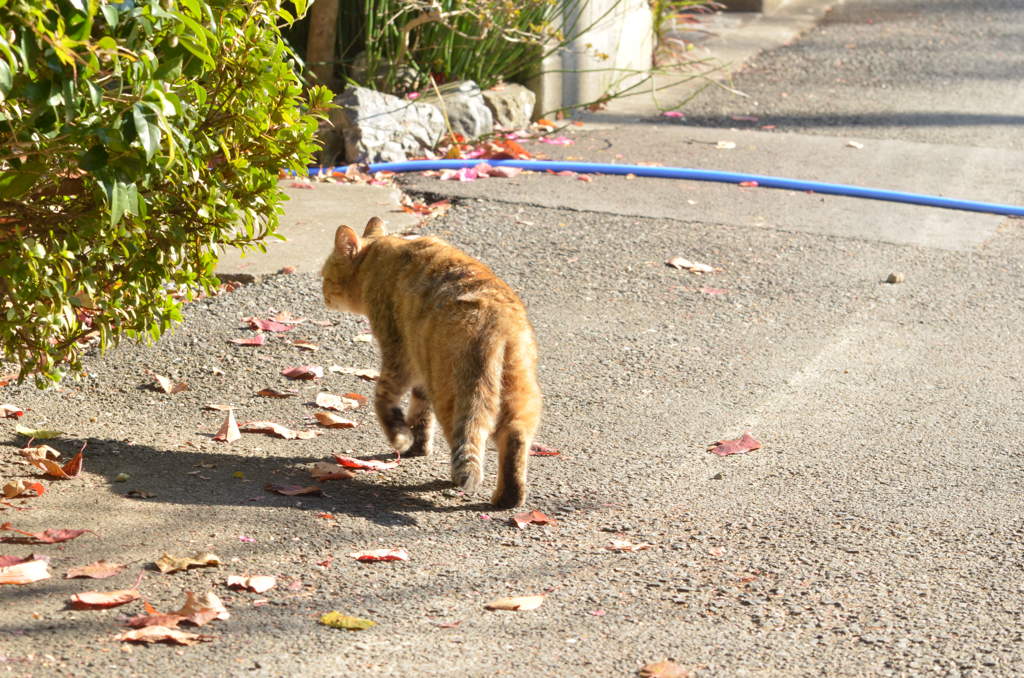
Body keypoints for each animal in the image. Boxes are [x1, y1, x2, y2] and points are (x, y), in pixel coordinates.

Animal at [323, 218, 540, 510]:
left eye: (326, 277)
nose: (323, 294)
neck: (378, 257)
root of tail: (496, 322)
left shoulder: (398, 354)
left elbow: (385, 401)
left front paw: (401, 438)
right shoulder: (420, 369)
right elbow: (420, 414)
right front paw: (418, 446)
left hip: (452, 393)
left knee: (467, 440)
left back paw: (458, 480)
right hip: (519, 394)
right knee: (515, 438)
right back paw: (508, 498)